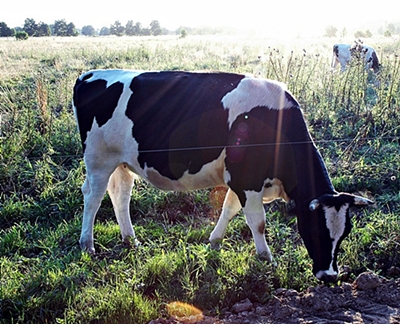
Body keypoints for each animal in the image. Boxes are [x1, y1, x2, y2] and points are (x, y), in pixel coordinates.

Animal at [73, 69, 374, 282]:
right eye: (314, 229)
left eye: (345, 233)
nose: (329, 277)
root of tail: (89, 74)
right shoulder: (248, 178)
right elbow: (257, 222)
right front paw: (266, 258)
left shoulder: (240, 178)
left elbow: (229, 209)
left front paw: (215, 242)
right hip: (98, 160)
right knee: (93, 197)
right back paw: (87, 245)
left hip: (122, 162)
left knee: (120, 196)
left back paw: (131, 240)